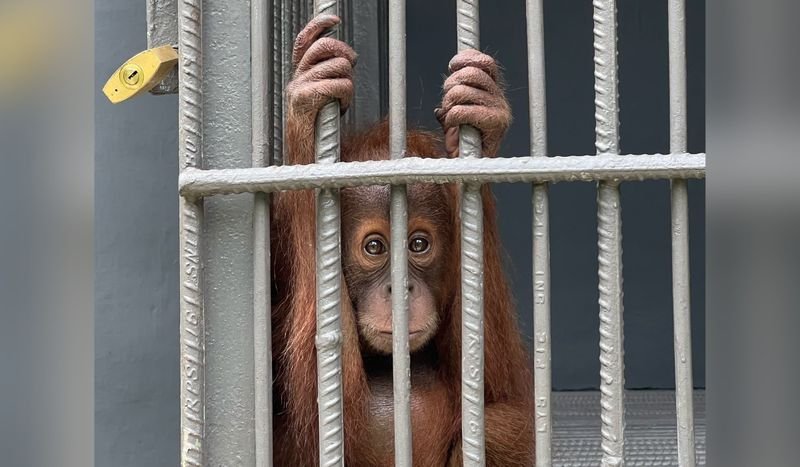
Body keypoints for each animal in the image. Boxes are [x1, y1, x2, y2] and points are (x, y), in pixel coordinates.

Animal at [270, 14, 534, 466]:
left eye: (418, 245)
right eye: (375, 247)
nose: (401, 287)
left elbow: (499, 391)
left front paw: (480, 120)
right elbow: (321, 425)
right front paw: (308, 106)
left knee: (500, 426)